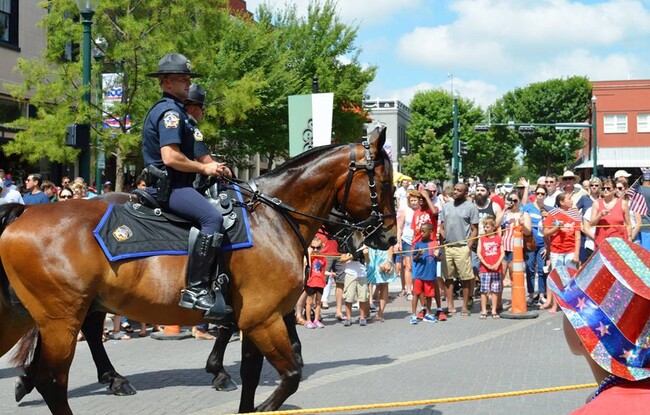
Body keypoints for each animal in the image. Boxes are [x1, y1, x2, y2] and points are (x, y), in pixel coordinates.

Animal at [0, 128, 394, 414]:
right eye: (386, 182)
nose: (387, 235)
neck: (273, 218)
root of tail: (24, 212)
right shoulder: (263, 318)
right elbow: (291, 373)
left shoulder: (262, 316)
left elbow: (255, 372)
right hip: (61, 318)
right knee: (54, 378)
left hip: (47, 312)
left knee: (72, 348)